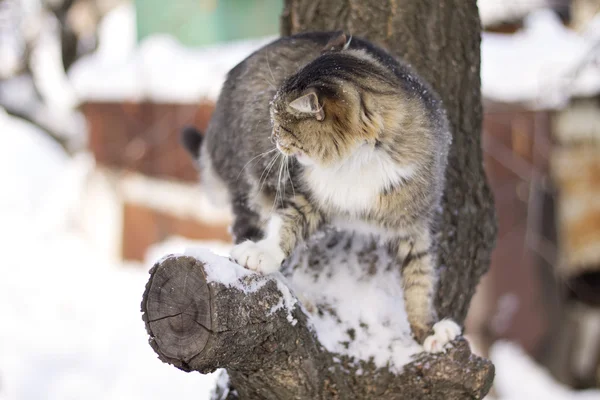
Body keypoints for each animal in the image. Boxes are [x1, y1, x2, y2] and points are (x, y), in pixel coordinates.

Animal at [182, 31, 460, 352]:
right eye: (272, 120)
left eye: (281, 125)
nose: (272, 137)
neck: (357, 163)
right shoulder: (308, 196)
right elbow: (284, 225)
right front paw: (262, 253)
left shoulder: (415, 224)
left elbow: (420, 280)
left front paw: (427, 332)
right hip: (251, 187)